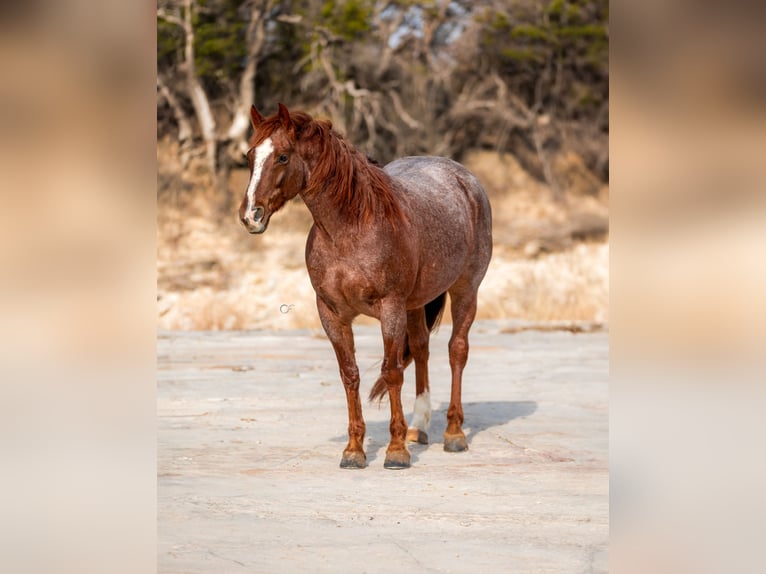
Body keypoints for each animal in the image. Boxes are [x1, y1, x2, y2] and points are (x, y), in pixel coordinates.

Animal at [238, 104, 492, 472]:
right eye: (249, 156)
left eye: (283, 157)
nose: (251, 216)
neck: (351, 228)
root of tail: (465, 179)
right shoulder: (332, 314)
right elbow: (350, 375)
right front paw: (354, 450)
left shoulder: (390, 308)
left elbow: (391, 372)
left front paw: (396, 451)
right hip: (415, 305)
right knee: (422, 349)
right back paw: (419, 426)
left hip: (465, 291)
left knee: (456, 350)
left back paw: (454, 433)